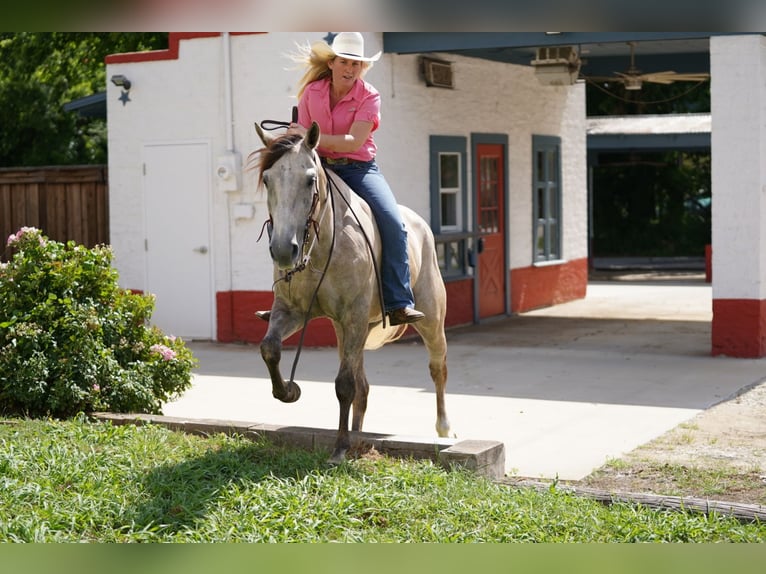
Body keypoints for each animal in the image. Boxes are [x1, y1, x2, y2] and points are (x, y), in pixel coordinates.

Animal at [255, 122, 452, 464]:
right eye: (267, 179)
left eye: (310, 179)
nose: (282, 250)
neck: (321, 247)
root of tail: (421, 226)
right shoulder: (292, 311)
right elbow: (270, 349)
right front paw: (289, 392)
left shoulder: (354, 316)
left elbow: (344, 385)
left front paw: (340, 448)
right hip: (348, 330)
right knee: (363, 386)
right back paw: (360, 431)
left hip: (428, 321)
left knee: (437, 368)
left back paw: (442, 430)